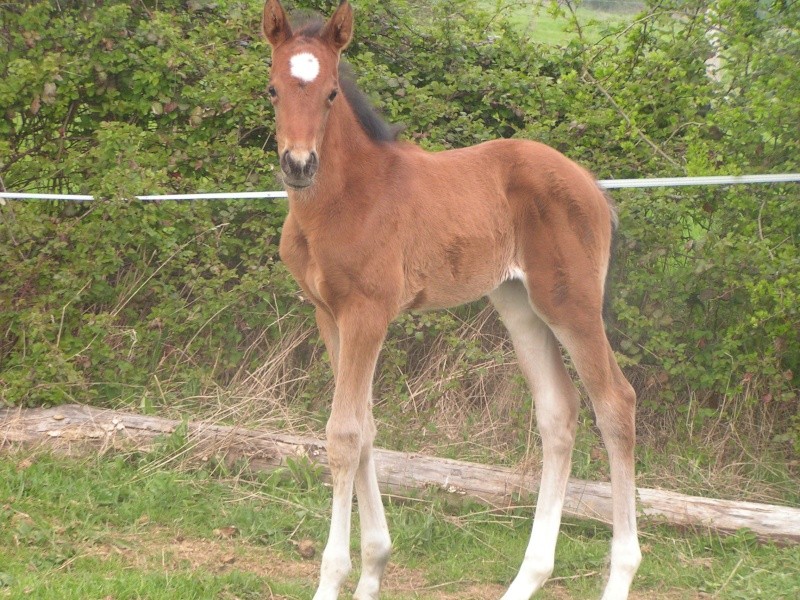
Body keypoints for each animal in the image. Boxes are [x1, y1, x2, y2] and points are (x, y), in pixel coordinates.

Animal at [262, 2, 644, 596]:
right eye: (273, 89)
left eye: (330, 92)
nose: (298, 164)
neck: (345, 198)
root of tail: (591, 185)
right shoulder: (329, 314)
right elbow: (366, 428)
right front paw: (374, 568)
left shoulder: (368, 312)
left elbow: (345, 434)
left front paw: (335, 578)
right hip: (518, 304)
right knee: (558, 411)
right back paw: (527, 578)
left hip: (571, 304)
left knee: (616, 405)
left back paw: (618, 575)